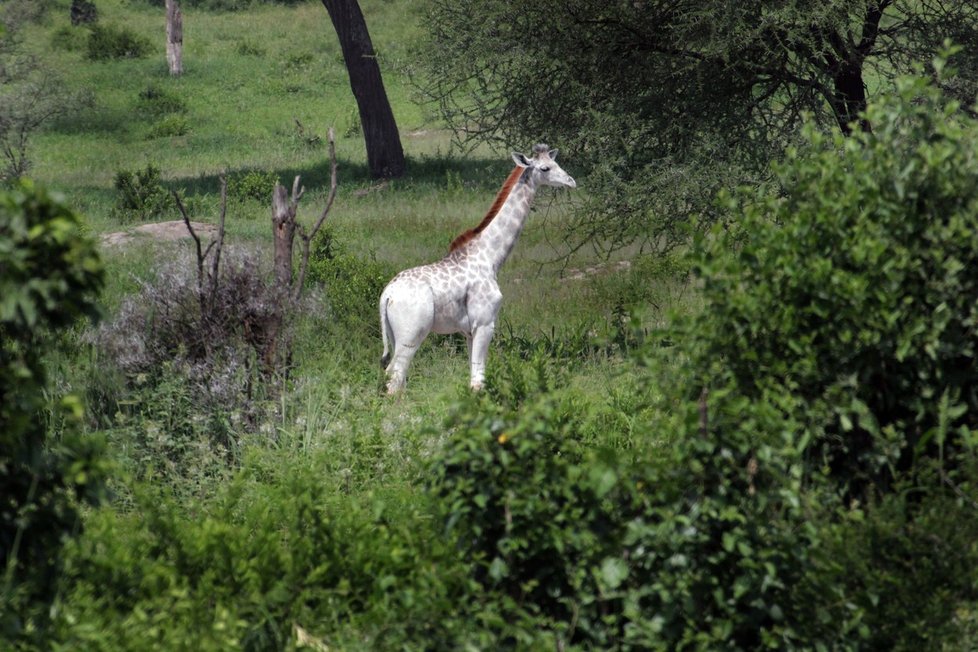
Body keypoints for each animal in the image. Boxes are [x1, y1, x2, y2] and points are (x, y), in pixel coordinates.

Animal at [378, 144, 576, 392]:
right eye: (545, 168)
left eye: (556, 162)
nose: (571, 181)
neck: (489, 257)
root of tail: (386, 295)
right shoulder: (485, 322)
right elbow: (478, 380)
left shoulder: (468, 330)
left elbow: (473, 376)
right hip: (412, 333)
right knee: (395, 375)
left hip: (394, 335)